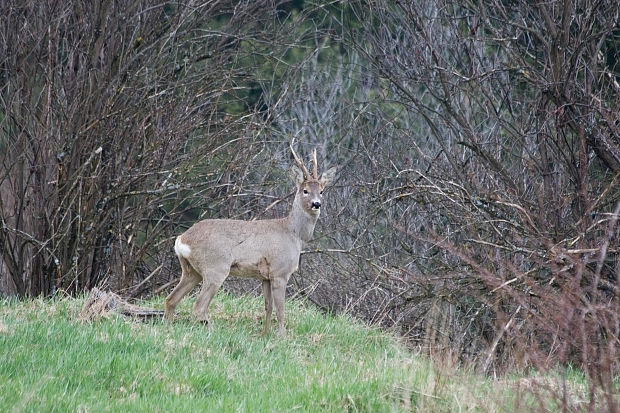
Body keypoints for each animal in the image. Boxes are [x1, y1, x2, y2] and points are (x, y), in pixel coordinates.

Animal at [165, 145, 336, 334]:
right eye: (305, 191)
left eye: (321, 191)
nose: (316, 204)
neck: (294, 234)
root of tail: (182, 239)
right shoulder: (280, 271)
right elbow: (280, 309)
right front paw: (282, 336)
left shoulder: (265, 277)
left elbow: (268, 307)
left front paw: (265, 335)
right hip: (215, 267)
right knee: (198, 306)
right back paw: (213, 330)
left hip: (191, 270)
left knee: (171, 299)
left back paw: (169, 329)